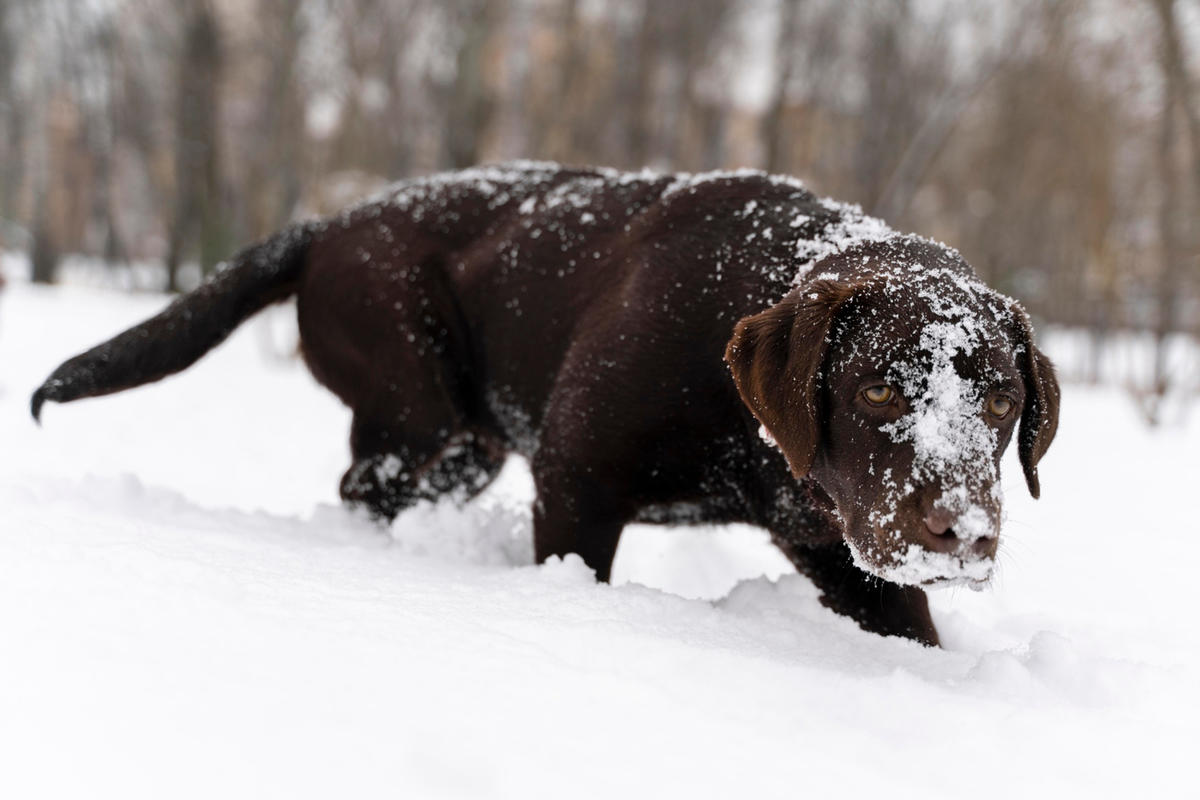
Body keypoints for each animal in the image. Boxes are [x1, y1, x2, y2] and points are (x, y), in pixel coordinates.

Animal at [32, 163, 1056, 642]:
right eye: (878, 386)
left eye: (1003, 400)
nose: (963, 533)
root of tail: (330, 223)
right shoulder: (577, 480)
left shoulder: (838, 547)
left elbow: (914, 628)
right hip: (418, 404)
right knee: (362, 485)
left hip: (467, 446)